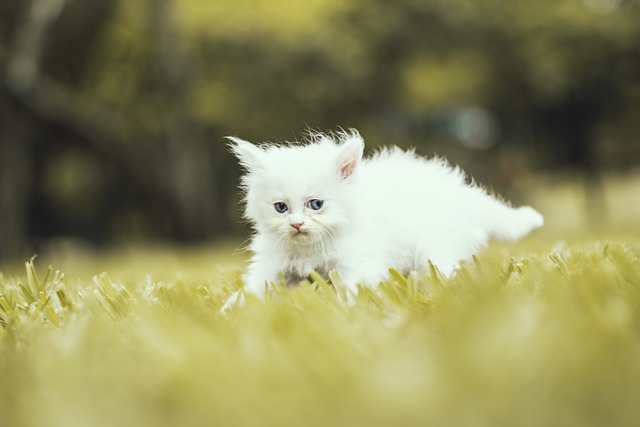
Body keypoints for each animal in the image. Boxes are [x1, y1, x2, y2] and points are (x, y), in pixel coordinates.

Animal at [222, 129, 544, 310]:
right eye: (281, 208)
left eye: (315, 205)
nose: (297, 224)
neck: (311, 247)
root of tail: (464, 192)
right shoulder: (272, 267)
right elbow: (254, 290)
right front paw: (231, 310)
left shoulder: (360, 263)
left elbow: (351, 290)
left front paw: (344, 311)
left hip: (436, 248)